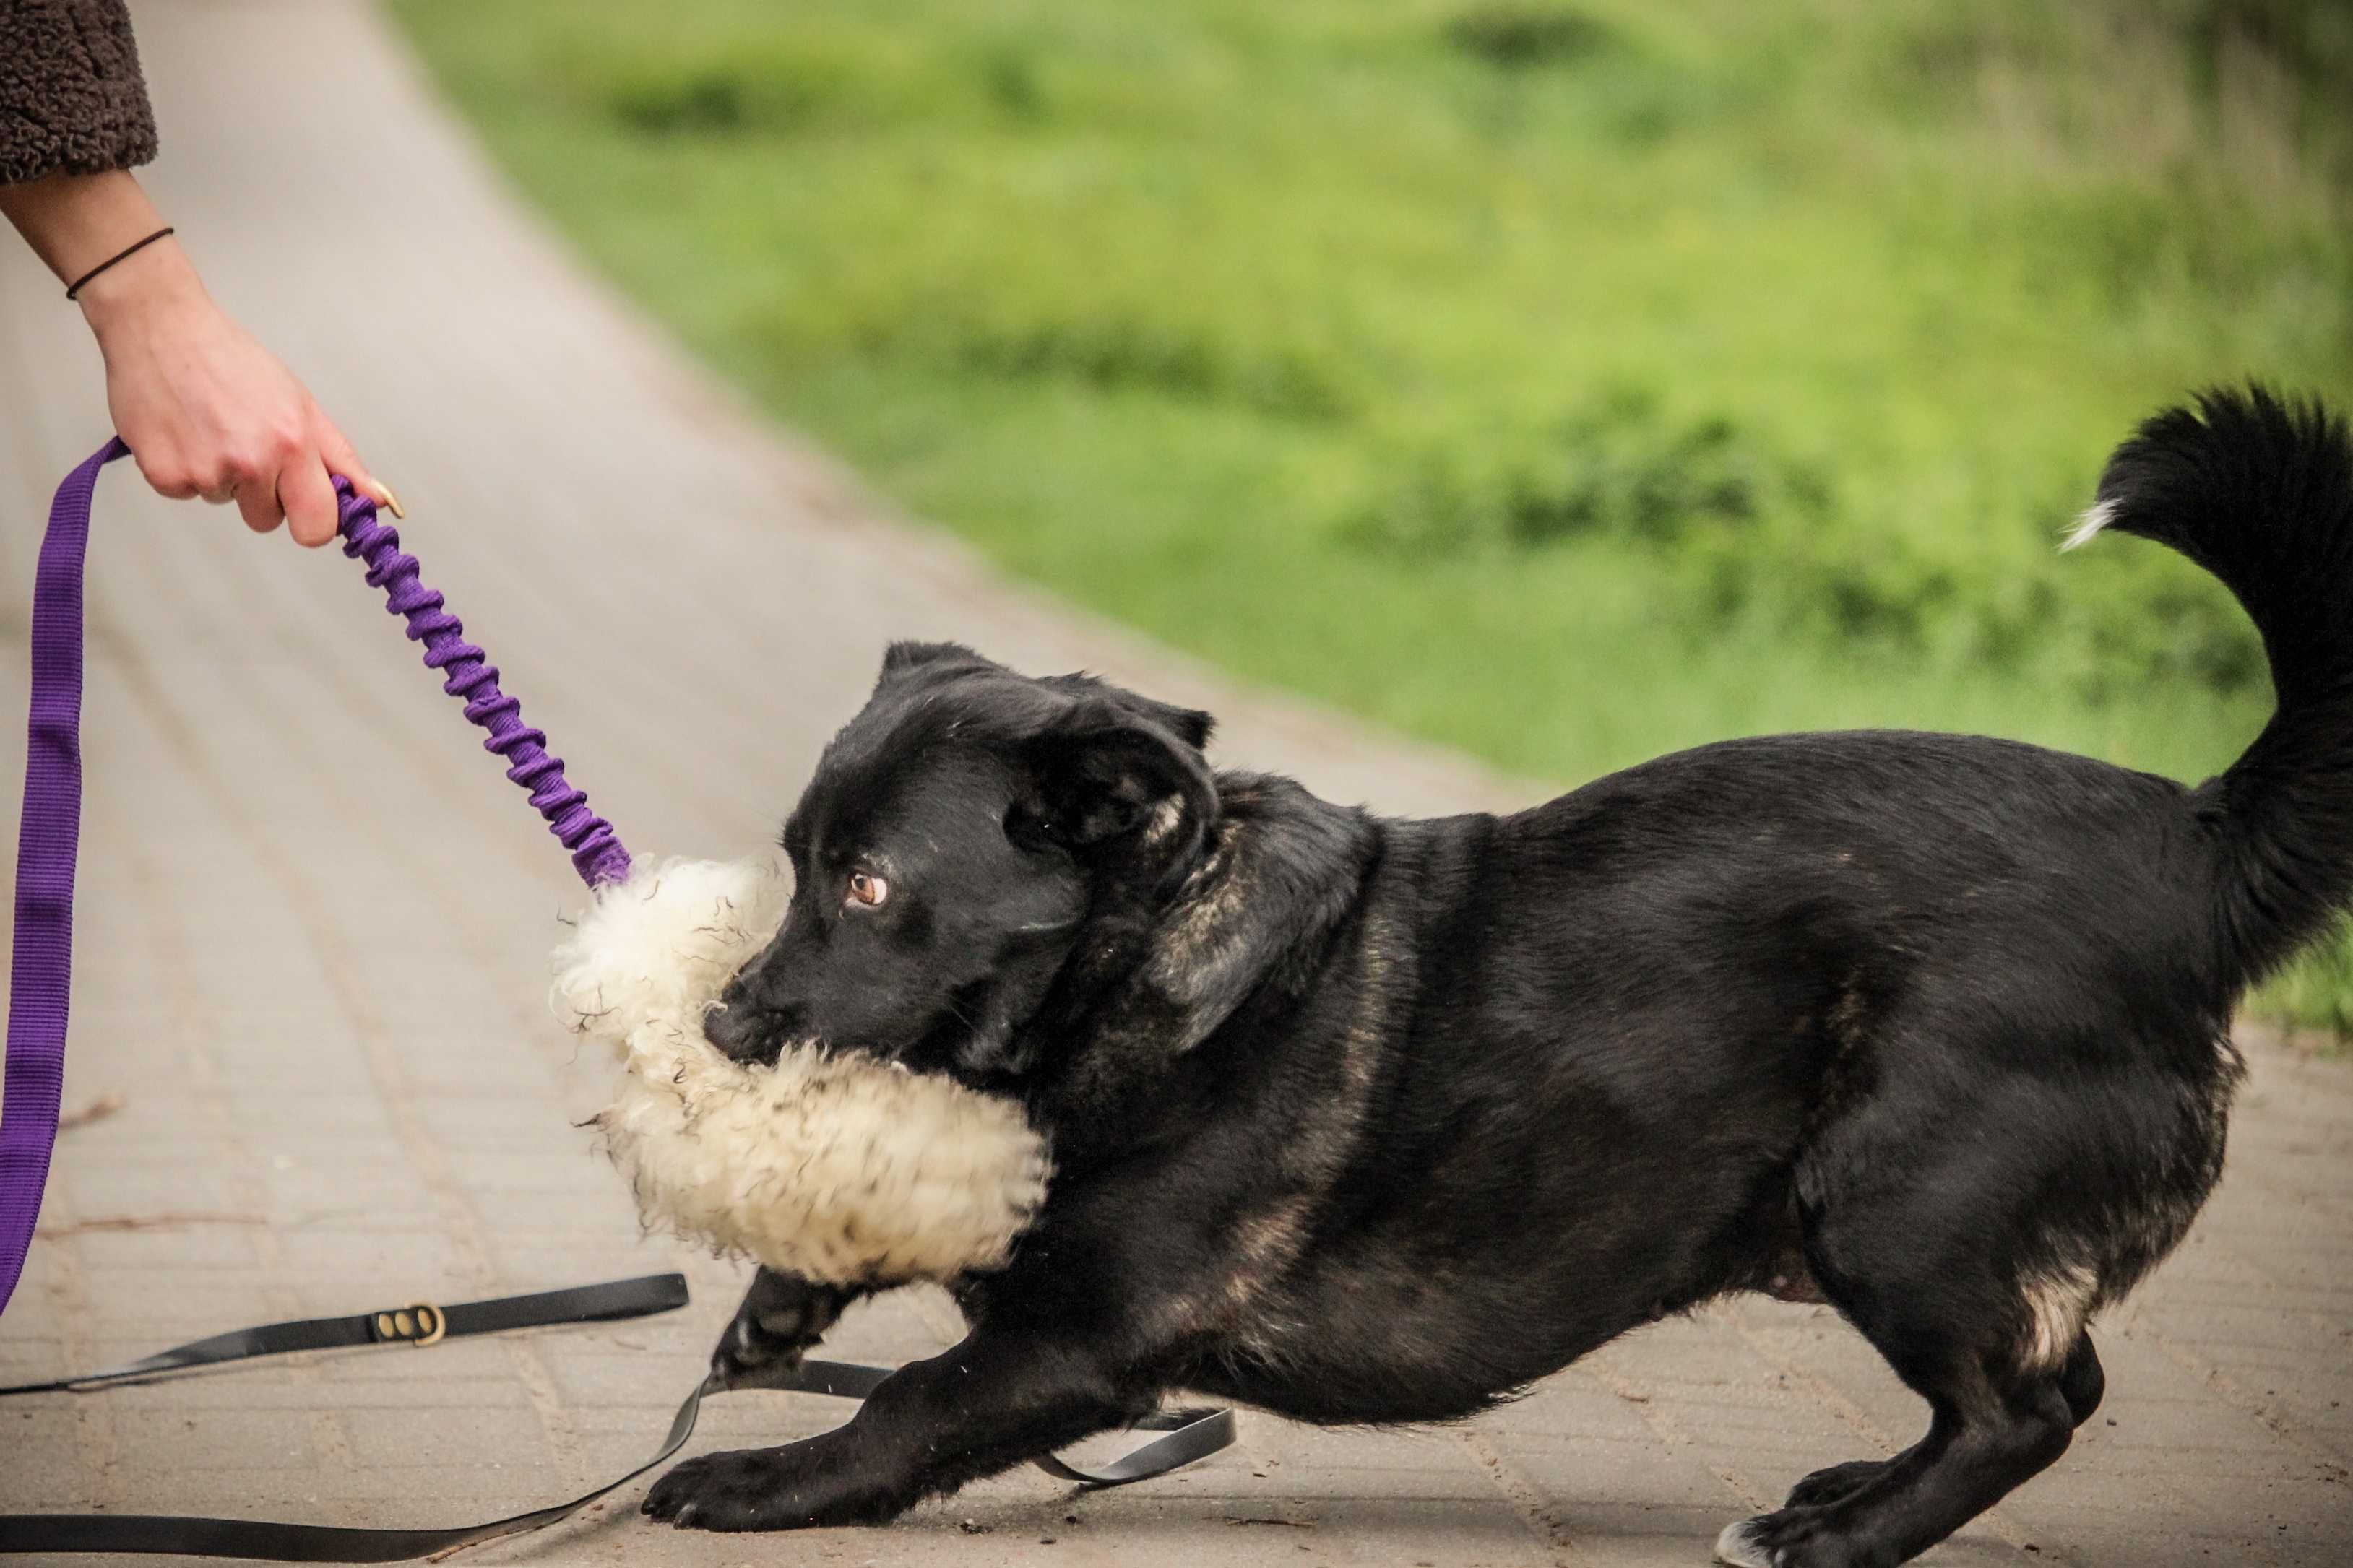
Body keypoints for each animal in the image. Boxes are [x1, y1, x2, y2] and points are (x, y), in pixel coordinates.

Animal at [639, 385, 2353, 1561]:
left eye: (871, 885)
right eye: (797, 859)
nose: (722, 1020)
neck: (1142, 977)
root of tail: (2189, 843)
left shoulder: (1087, 1339)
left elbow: (908, 1404)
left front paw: (753, 1473)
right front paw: (781, 1309)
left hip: (1896, 1198)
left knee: (2024, 1408)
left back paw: (1830, 1536)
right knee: (2048, 1380)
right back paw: (1847, 1487)